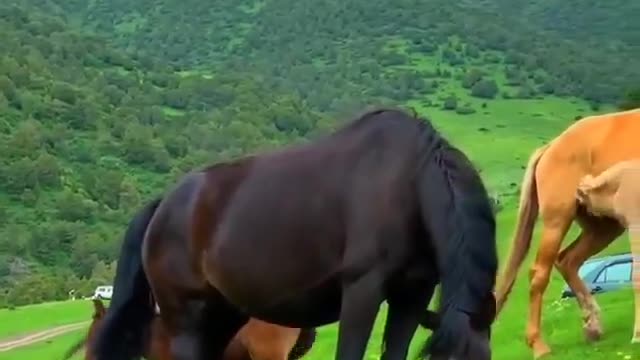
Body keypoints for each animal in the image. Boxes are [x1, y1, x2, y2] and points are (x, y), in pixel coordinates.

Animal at [92, 107, 498, 360]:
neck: (408, 182)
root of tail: (163, 205)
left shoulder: (413, 295)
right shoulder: (362, 290)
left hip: (223, 318)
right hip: (186, 320)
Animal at [496, 108, 640, 358]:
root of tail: (550, 147)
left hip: (604, 227)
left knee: (568, 260)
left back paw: (592, 326)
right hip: (558, 221)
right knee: (540, 273)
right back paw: (539, 345)